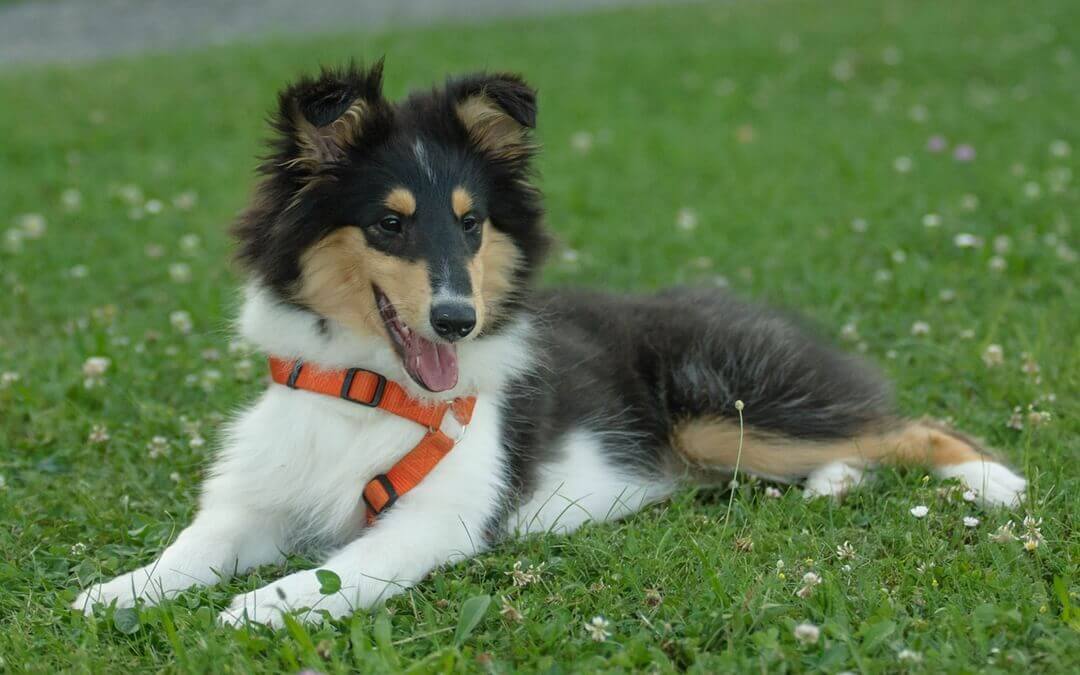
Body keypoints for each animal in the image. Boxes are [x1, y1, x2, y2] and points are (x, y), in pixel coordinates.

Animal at [73, 63, 1019, 626]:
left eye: (471, 222)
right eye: (388, 223)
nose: (456, 319)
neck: (367, 392)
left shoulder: (439, 519)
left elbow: (342, 569)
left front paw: (259, 607)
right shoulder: (254, 500)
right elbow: (188, 548)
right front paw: (114, 590)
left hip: (723, 407)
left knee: (909, 423)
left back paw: (993, 481)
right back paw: (835, 482)